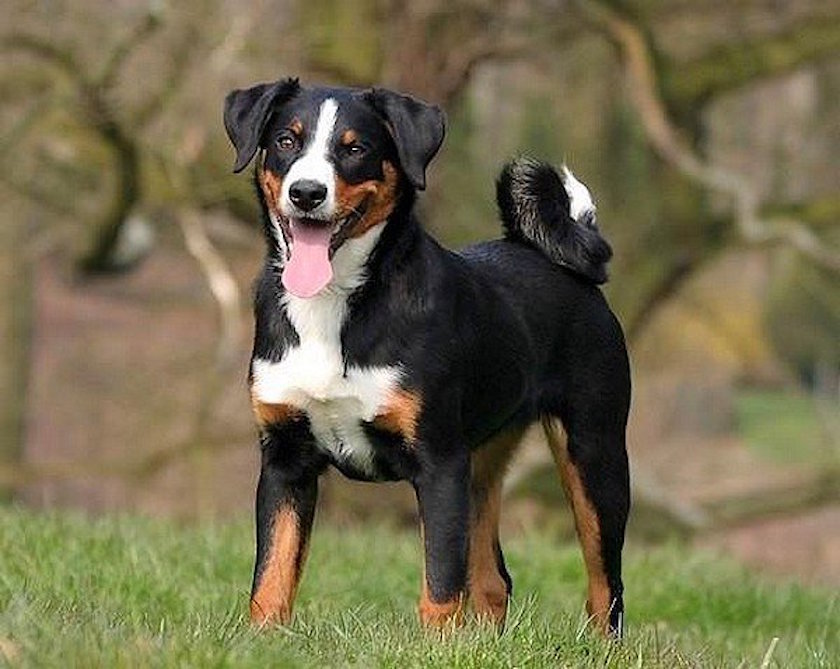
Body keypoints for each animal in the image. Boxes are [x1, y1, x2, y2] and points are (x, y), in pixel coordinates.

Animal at [223, 79, 632, 636]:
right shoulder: (286, 459)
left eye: (355, 148)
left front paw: (437, 645)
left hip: (593, 454)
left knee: (604, 587)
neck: (335, 304)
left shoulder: (439, 464)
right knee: (492, 579)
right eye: (287, 139)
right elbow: (272, 574)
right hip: (482, 464)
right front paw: (263, 640)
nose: (307, 192)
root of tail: (559, 259)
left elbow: (439, 582)